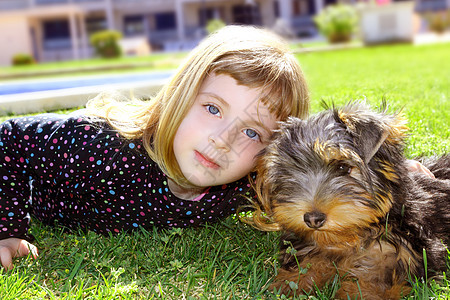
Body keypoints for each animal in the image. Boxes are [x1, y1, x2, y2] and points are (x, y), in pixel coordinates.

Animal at [251, 102, 448, 298]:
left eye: (343, 167)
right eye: (291, 172)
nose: (312, 219)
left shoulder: (406, 249)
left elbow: (379, 271)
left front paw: (358, 292)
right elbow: (309, 259)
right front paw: (289, 283)